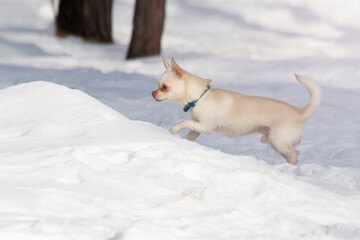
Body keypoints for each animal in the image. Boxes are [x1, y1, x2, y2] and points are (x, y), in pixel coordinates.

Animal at [152, 57, 320, 164]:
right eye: (158, 85)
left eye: (164, 87)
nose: (153, 93)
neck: (200, 97)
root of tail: (300, 112)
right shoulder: (197, 127)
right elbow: (189, 134)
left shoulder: (206, 127)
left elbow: (183, 122)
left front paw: (174, 129)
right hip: (272, 141)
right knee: (292, 154)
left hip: (277, 140)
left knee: (295, 153)